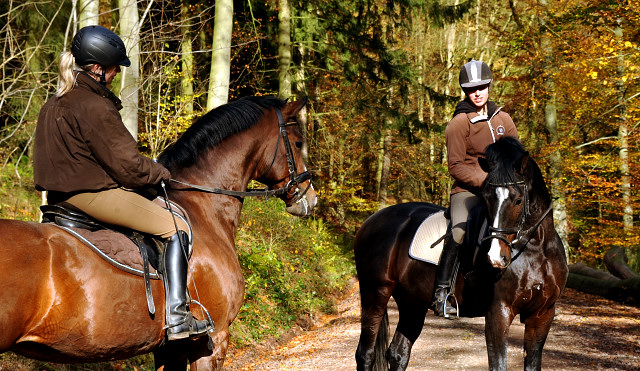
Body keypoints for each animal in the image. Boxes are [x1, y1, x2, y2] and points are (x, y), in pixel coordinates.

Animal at [356, 138, 568, 371]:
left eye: (518, 200)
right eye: (487, 198)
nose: (496, 257)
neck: (536, 248)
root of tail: (371, 220)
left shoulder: (542, 314)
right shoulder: (499, 311)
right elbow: (498, 364)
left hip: (412, 301)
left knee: (398, 352)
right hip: (375, 292)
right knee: (365, 353)